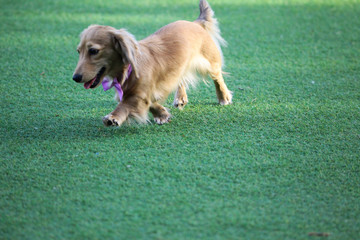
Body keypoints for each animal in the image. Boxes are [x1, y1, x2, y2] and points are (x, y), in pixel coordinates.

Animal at [71, 0, 232, 126]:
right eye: (79, 51)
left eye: (93, 51)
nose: (75, 78)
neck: (129, 70)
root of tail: (196, 23)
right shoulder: (145, 92)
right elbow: (151, 102)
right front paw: (162, 114)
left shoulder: (138, 95)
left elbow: (125, 105)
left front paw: (113, 117)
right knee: (181, 79)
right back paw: (180, 98)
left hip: (209, 63)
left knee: (217, 77)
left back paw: (223, 97)